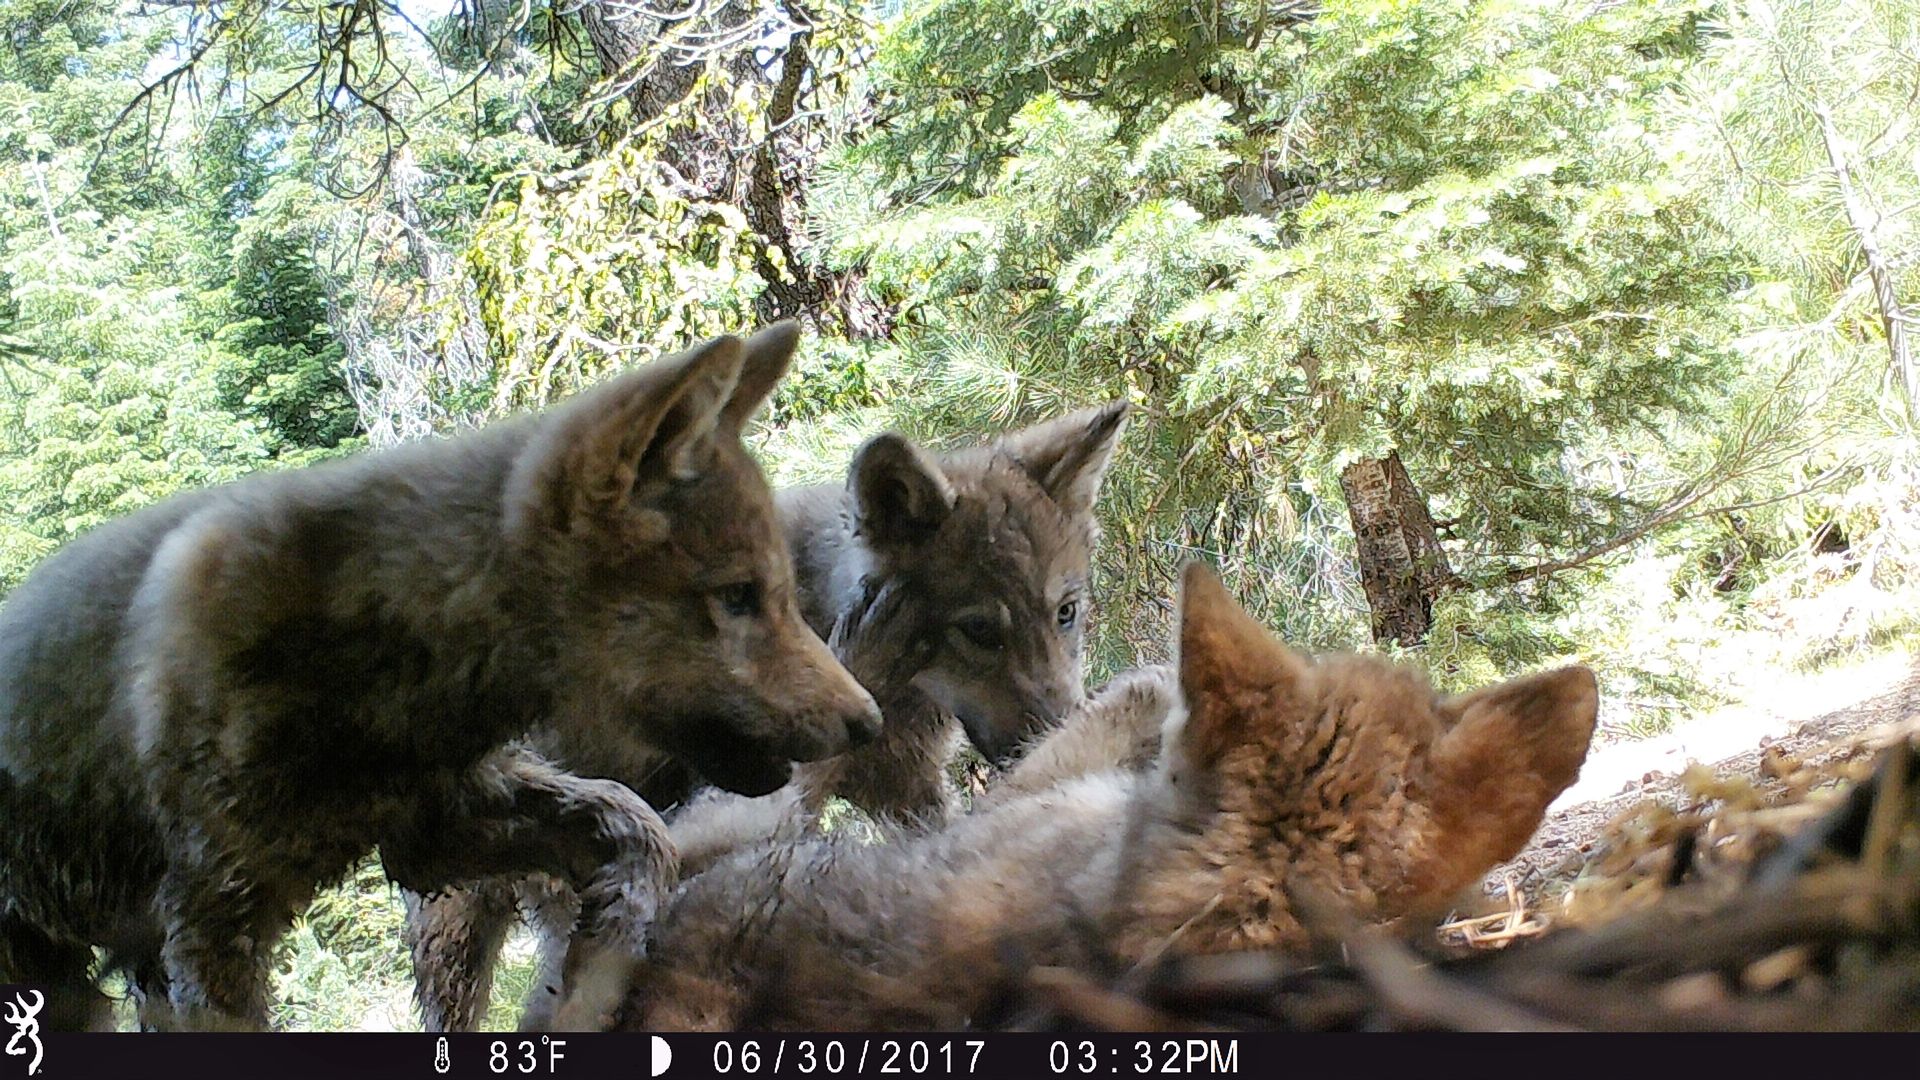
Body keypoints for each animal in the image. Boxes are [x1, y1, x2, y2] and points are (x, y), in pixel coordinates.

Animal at [0, 323, 881, 1031]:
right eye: (737, 597)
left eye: (781, 594)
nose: (868, 722)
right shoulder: (211, 922)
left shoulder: (438, 825)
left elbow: (638, 833)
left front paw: (590, 977)